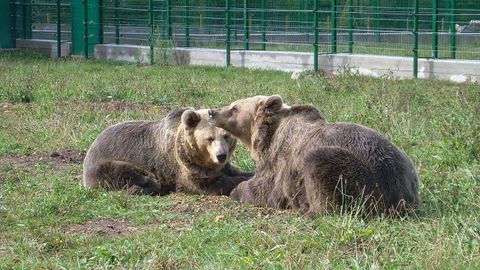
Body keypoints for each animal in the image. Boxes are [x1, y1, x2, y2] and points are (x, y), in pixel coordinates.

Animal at [83, 107, 253, 196]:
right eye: (209, 138)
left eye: (226, 136)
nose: (221, 155)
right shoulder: (186, 167)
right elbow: (209, 184)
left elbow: (234, 171)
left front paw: (248, 174)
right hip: (104, 163)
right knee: (124, 171)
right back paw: (146, 186)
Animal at [206, 96, 420, 216]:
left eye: (234, 108)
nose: (211, 111)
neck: (266, 137)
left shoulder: (279, 161)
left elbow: (264, 190)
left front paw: (236, 189)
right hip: (407, 163)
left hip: (364, 176)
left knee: (321, 167)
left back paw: (310, 210)